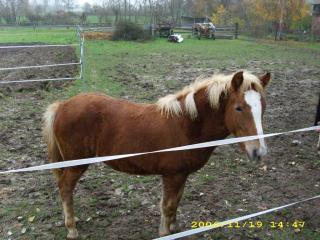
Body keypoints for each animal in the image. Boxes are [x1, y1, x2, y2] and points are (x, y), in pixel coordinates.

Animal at [43, 70, 270, 239]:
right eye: (238, 108)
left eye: (263, 107)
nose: (258, 151)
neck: (187, 124)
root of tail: (62, 105)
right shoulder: (172, 175)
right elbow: (167, 206)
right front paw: (165, 232)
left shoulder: (181, 175)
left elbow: (176, 202)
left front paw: (175, 228)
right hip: (76, 164)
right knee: (65, 188)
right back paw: (72, 228)